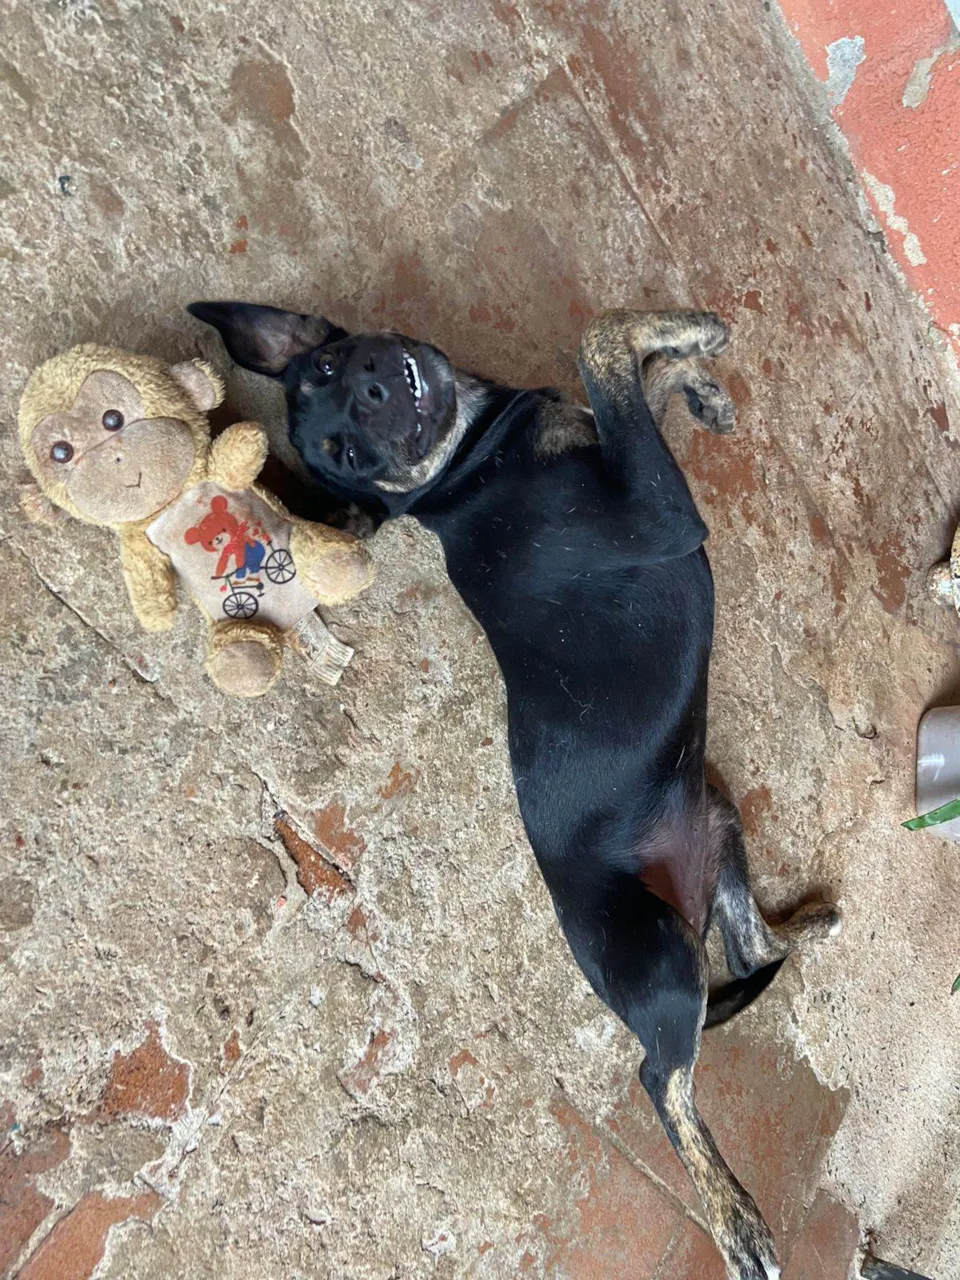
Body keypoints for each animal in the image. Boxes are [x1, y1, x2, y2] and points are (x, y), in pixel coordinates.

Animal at [188, 300, 841, 1279]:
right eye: (344, 453)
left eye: (332, 366)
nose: (372, 390)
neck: (467, 461)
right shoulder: (662, 513)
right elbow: (604, 342)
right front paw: (688, 335)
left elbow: (628, 383)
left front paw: (695, 378)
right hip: (658, 961)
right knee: (663, 1079)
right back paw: (735, 1220)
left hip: (719, 831)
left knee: (755, 950)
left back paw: (809, 923)